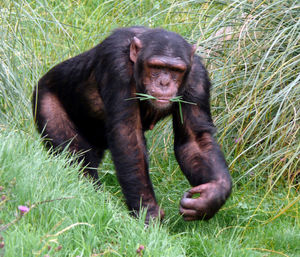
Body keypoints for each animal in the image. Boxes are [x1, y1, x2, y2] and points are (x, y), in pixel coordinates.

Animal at [32, 26, 232, 222]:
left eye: (176, 70)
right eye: (156, 66)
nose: (164, 82)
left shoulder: (198, 78)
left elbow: (195, 139)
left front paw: (211, 196)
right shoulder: (116, 66)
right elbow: (127, 136)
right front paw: (148, 212)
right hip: (45, 101)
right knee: (75, 156)